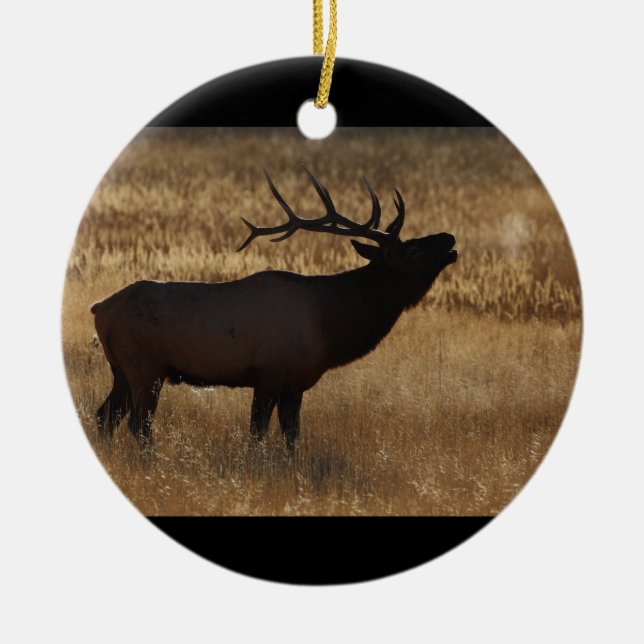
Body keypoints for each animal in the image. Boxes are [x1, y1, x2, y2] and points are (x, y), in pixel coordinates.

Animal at [91, 166, 457, 453]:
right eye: (412, 250)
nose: (450, 238)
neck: (331, 324)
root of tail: (99, 308)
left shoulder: (295, 383)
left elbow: (292, 439)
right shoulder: (269, 374)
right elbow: (257, 435)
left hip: (122, 369)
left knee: (105, 416)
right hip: (145, 367)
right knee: (138, 424)